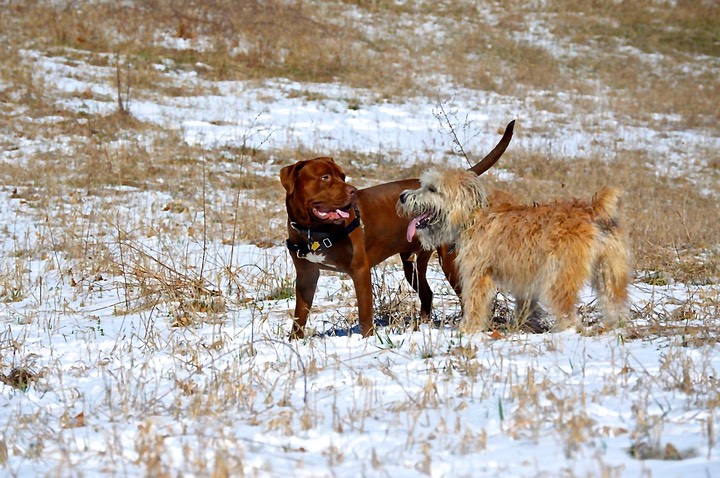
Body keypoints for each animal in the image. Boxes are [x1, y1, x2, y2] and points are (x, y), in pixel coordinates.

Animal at [278, 121, 516, 338]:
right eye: (325, 177)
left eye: (342, 176)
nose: (352, 190)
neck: (314, 231)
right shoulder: (306, 275)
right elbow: (300, 315)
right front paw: (295, 341)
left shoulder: (360, 270)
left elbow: (365, 313)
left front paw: (367, 339)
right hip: (412, 264)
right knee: (427, 294)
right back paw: (422, 327)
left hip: (449, 262)